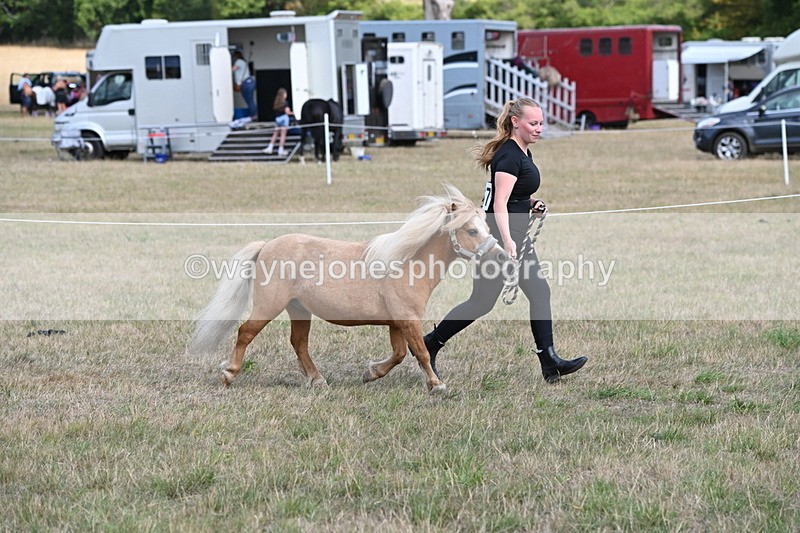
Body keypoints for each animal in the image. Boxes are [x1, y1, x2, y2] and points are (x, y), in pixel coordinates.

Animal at [189, 185, 505, 394]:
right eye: (472, 231)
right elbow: (421, 352)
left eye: (486, 228)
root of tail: (266, 246)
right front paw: (436, 384)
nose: (501, 256)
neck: (406, 263)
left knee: (299, 343)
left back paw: (317, 380)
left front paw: (371, 373)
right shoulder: (408, 319)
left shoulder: (396, 323)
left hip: (298, 309)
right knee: (246, 332)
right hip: (269, 306)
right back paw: (229, 374)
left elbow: (399, 354)